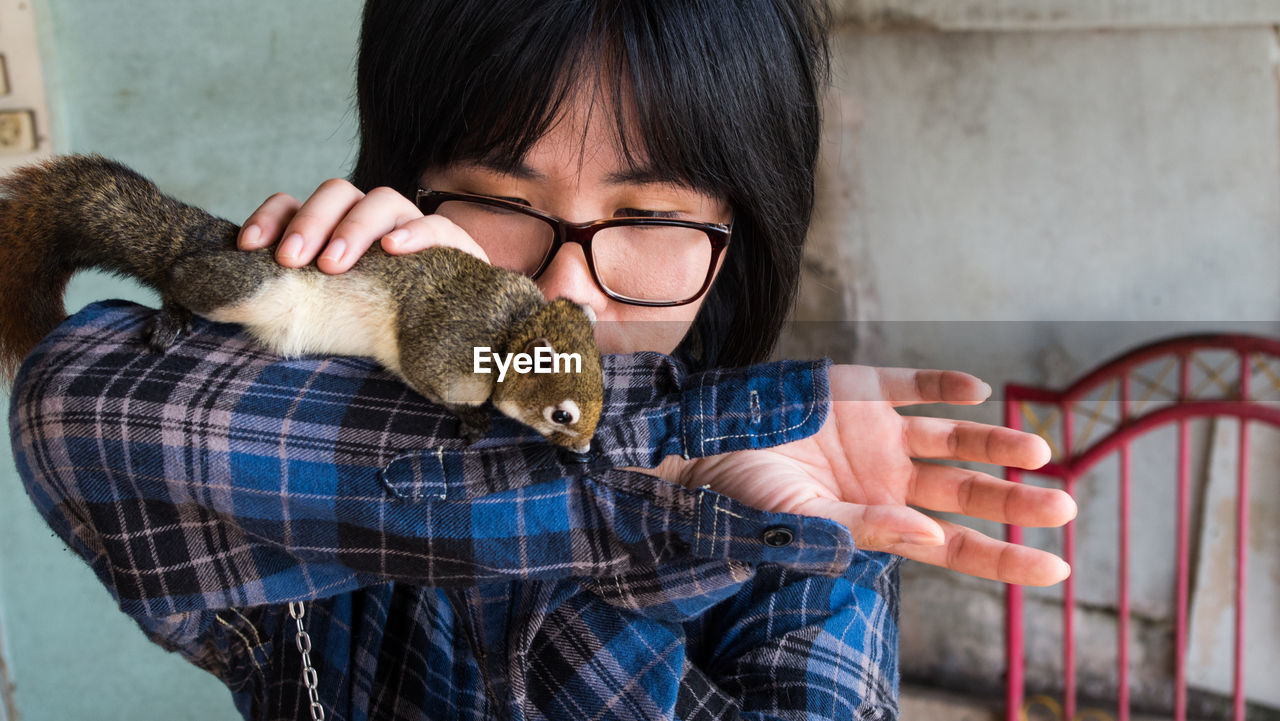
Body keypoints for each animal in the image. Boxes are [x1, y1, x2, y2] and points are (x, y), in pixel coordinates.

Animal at [0, 155, 606, 453]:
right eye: (562, 414)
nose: (582, 452)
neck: (512, 328)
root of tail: (220, 240)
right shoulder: (445, 346)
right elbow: (431, 379)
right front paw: (475, 419)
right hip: (241, 285)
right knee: (179, 275)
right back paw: (173, 311)